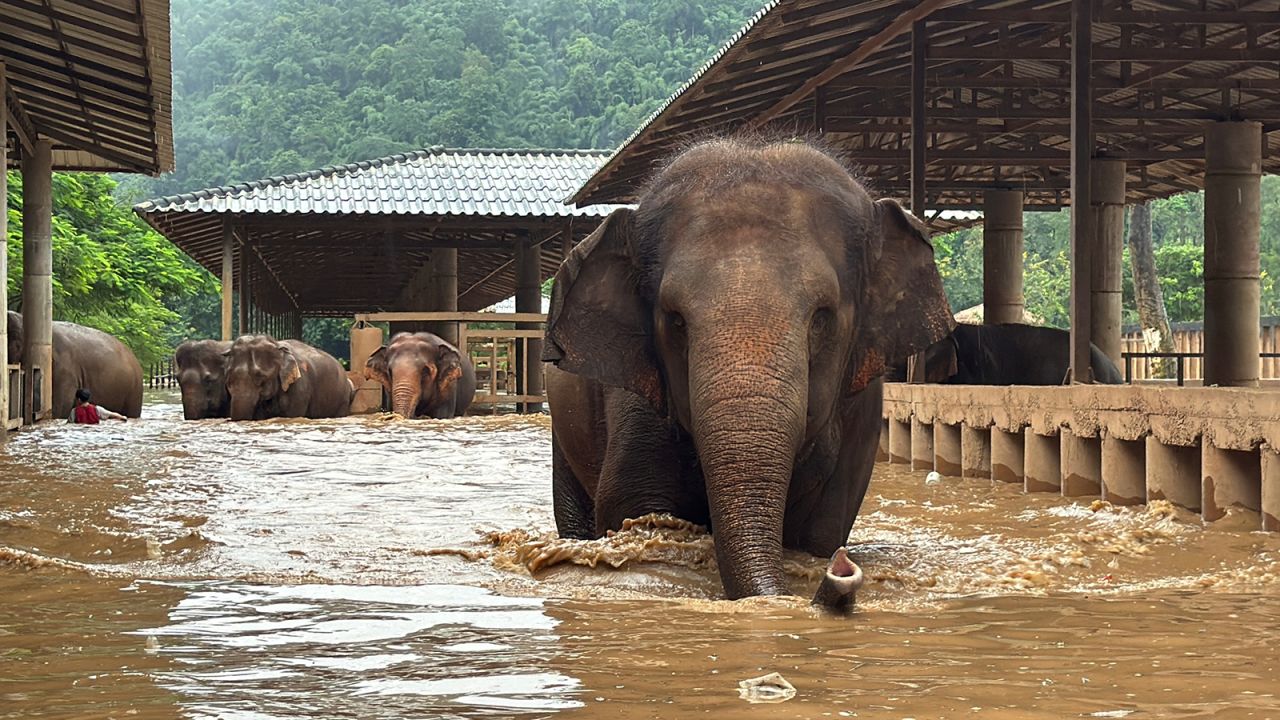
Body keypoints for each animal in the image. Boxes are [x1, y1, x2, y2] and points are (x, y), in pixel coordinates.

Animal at [540, 137, 952, 602]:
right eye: (675, 320)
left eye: (822, 317)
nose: (841, 571)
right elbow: (632, 506)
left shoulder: (861, 414)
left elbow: (823, 528)